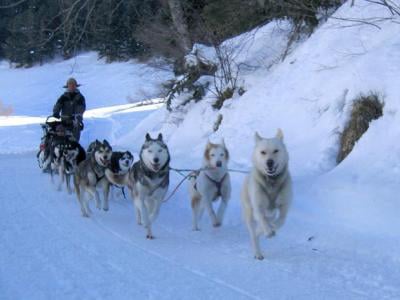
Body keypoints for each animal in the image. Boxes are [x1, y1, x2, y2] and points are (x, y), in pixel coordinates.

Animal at [242, 129, 292, 260]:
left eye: (276, 150)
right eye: (263, 152)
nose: (270, 162)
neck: (271, 182)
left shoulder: (284, 205)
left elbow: (281, 220)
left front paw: (273, 227)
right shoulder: (258, 206)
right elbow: (261, 219)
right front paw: (268, 231)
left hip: (271, 213)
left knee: (265, 222)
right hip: (249, 213)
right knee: (253, 233)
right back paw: (258, 252)